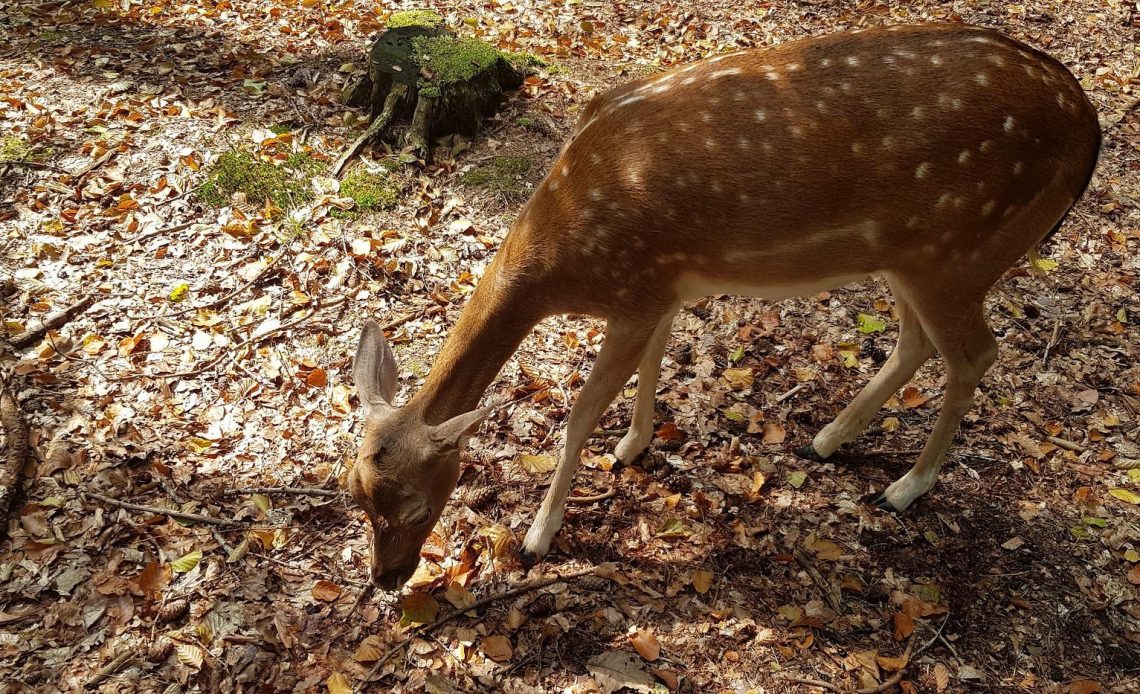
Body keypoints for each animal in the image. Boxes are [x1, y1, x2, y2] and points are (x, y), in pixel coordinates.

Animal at [348, 21, 1103, 588]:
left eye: (413, 505)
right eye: (354, 495)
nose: (386, 579)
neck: (564, 260)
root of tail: (1087, 121)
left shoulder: (634, 289)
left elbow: (581, 413)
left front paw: (539, 535)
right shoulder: (663, 288)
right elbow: (653, 365)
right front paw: (633, 447)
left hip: (961, 249)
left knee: (977, 353)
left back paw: (907, 486)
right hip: (914, 257)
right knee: (920, 343)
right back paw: (828, 438)